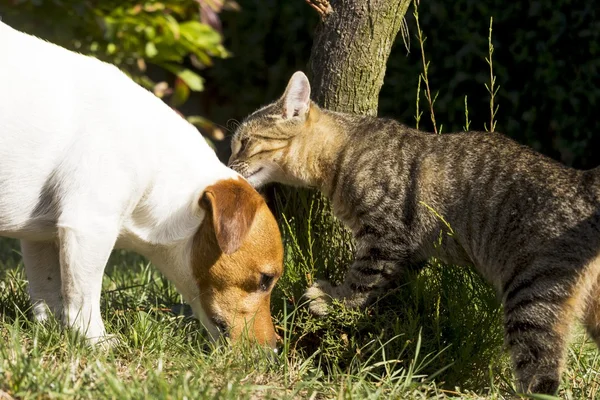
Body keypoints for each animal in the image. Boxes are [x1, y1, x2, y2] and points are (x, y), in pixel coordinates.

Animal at [0, 20, 284, 348]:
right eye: (265, 280)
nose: (275, 349)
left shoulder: (41, 237)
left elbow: (46, 292)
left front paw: (50, 331)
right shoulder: (89, 226)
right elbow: (83, 300)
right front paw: (95, 340)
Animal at [227, 71, 600, 394]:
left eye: (244, 142)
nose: (228, 165)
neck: (343, 152)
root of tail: (583, 182)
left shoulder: (385, 237)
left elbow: (361, 282)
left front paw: (332, 300)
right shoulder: (409, 251)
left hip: (532, 298)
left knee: (540, 377)